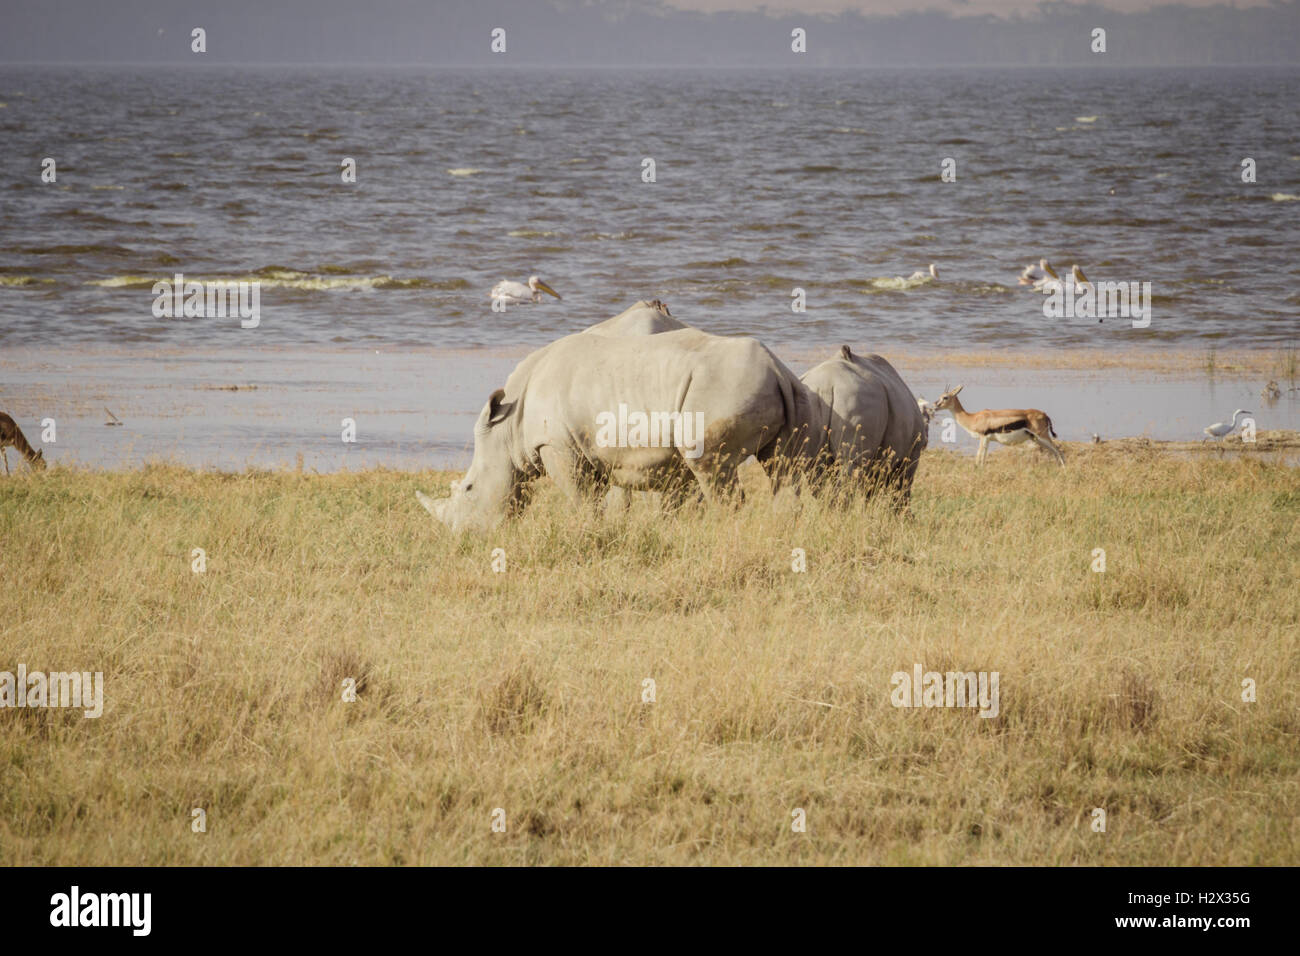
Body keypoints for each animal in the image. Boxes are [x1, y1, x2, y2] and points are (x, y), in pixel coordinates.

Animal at [935, 385, 1066, 468]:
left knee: (1058, 450)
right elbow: (983, 458)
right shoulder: (987, 440)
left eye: (945, 397)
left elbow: (978, 456)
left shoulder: (983, 437)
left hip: (1042, 436)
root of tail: (1044, 414)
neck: (973, 418)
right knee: (1054, 452)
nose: (935, 405)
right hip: (1036, 439)